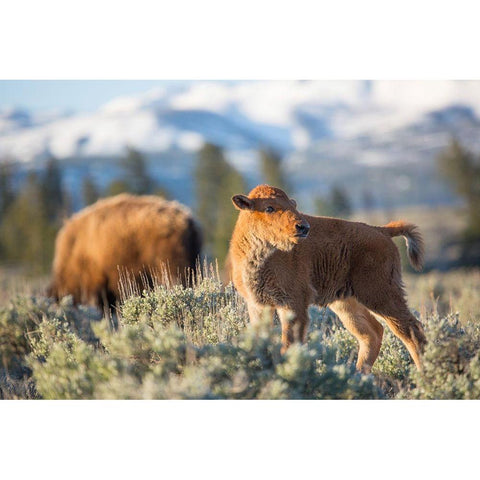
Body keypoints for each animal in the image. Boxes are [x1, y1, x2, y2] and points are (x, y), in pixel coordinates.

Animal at [230, 184, 428, 372]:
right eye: (269, 208)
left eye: (293, 206)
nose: (303, 227)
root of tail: (382, 231)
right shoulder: (257, 305)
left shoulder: (293, 304)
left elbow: (289, 344)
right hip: (346, 303)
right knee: (372, 333)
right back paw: (358, 375)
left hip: (380, 295)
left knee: (411, 331)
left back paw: (423, 376)